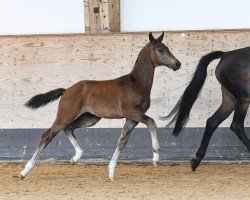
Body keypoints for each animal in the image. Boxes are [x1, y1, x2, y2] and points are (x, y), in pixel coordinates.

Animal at [19, 32, 180, 180]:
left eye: (167, 48)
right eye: (160, 50)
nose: (177, 64)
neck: (137, 83)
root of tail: (66, 90)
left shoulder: (132, 118)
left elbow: (122, 141)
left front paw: (111, 172)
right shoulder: (132, 112)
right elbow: (152, 122)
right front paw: (156, 156)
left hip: (90, 118)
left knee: (68, 128)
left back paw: (76, 156)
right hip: (65, 115)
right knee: (47, 135)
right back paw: (24, 171)